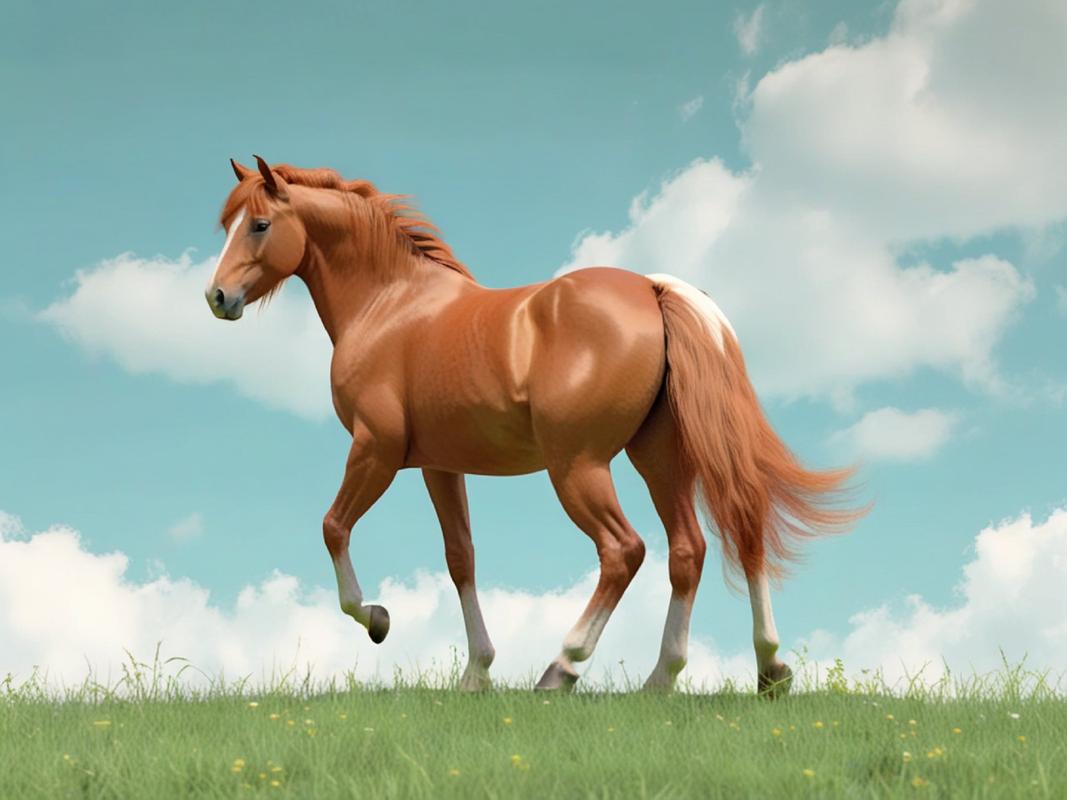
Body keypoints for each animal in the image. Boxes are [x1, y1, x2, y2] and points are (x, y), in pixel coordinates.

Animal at [206, 156, 863, 694]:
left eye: (259, 224)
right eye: (227, 223)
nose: (217, 298)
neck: (391, 305)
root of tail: (653, 290)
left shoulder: (376, 450)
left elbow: (333, 528)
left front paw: (378, 620)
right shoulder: (440, 466)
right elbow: (461, 558)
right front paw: (476, 673)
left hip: (578, 467)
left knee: (624, 551)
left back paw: (562, 668)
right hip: (657, 458)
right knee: (700, 546)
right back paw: (723, 673)